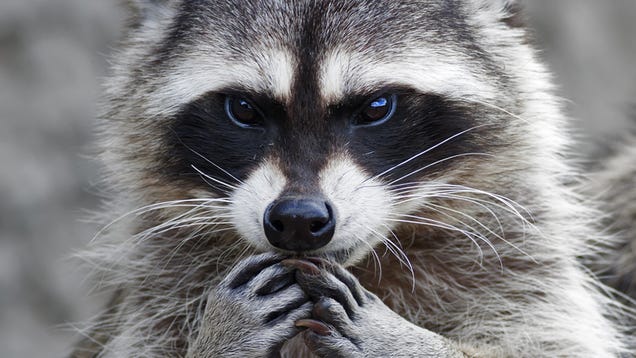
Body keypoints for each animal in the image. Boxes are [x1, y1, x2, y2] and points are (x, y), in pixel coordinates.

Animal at [71, 0, 632, 358]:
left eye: (377, 107)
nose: (298, 219)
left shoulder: (520, 273)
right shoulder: (154, 301)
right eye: (244, 110)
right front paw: (220, 336)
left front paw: (411, 344)